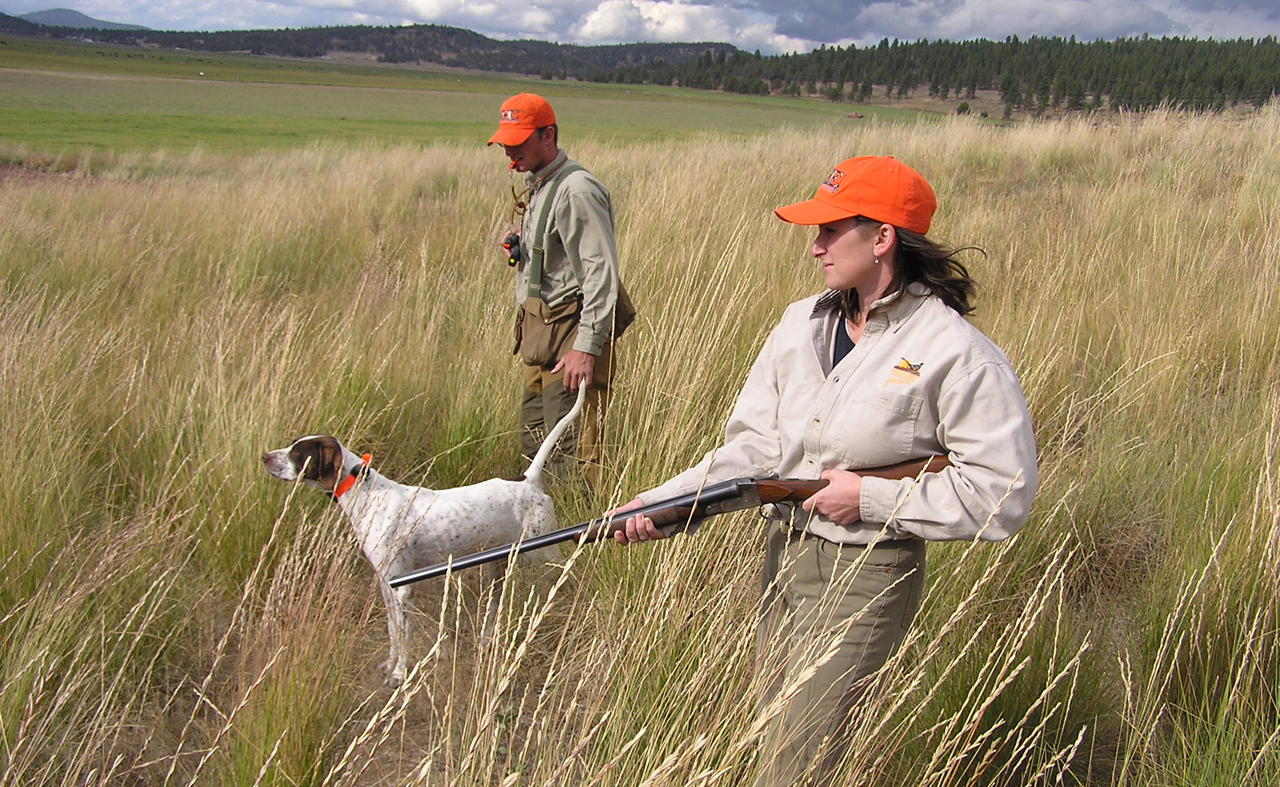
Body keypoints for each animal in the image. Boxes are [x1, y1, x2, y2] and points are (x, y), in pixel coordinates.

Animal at [264, 386, 586, 685]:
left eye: (297, 453)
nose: (265, 456)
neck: (368, 494)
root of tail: (528, 480)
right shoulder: (385, 584)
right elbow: (393, 632)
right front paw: (390, 664)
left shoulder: (402, 589)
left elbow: (404, 636)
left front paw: (399, 674)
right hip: (496, 565)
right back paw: (485, 642)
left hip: (544, 555)